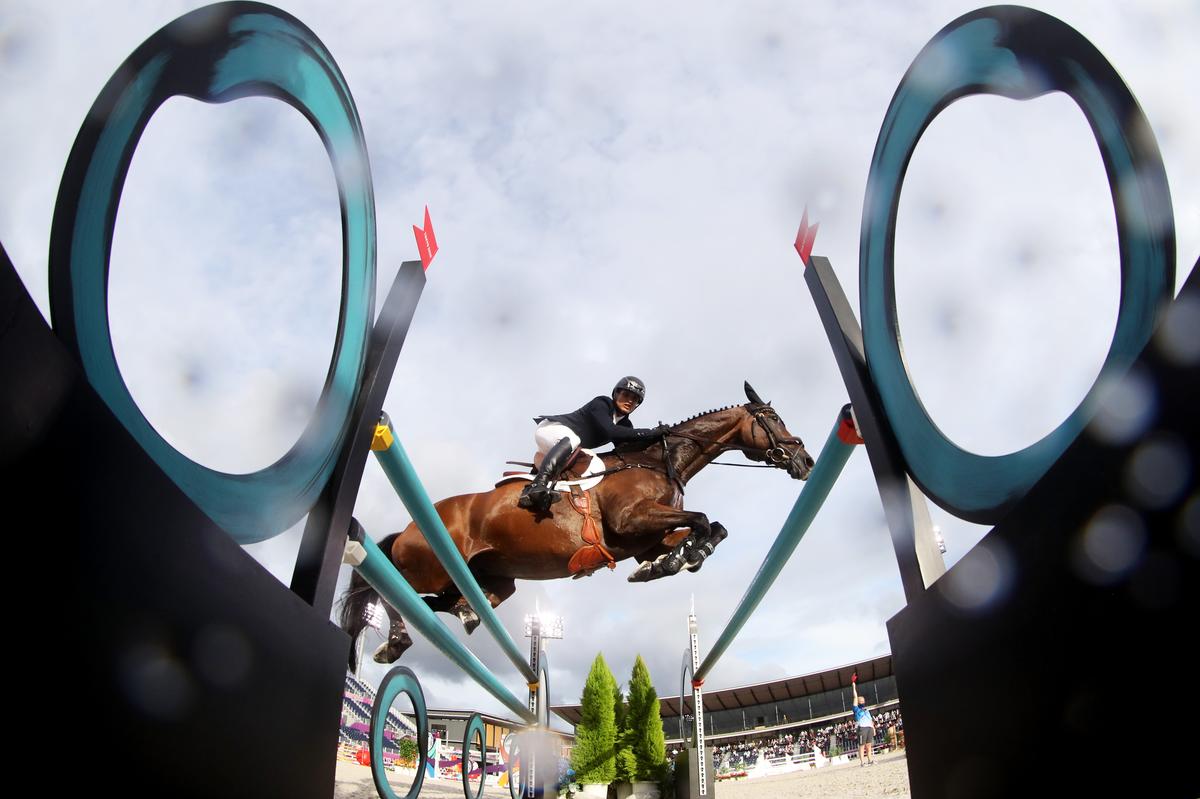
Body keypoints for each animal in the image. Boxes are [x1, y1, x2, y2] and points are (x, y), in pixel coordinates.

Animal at [340, 381, 816, 667]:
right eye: (773, 419)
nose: (806, 461)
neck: (658, 460)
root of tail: (406, 528)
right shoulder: (631, 521)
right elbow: (701, 520)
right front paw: (683, 558)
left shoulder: (648, 538)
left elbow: (710, 529)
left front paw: (670, 564)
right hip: (429, 564)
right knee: (392, 591)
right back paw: (395, 642)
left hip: (489, 584)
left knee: (439, 604)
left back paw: (460, 616)